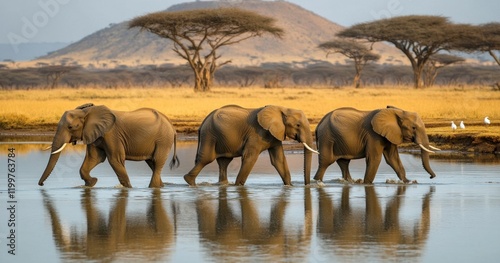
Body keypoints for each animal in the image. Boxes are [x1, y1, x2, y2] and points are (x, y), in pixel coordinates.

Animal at [39, 103, 180, 188]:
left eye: (71, 127)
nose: (41, 185)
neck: (87, 111)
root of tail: (172, 126)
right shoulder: (95, 134)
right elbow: (94, 158)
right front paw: (92, 183)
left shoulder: (112, 134)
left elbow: (115, 160)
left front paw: (128, 189)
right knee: (152, 163)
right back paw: (160, 187)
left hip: (163, 140)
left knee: (157, 161)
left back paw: (152, 188)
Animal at [183, 104, 316, 187]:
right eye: (298, 125)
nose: (306, 185)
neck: (281, 108)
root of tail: (203, 122)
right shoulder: (256, 134)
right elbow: (250, 158)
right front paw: (238, 187)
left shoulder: (275, 134)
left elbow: (278, 160)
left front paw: (289, 186)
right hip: (210, 135)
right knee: (206, 159)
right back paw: (190, 182)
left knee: (224, 162)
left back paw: (223, 185)